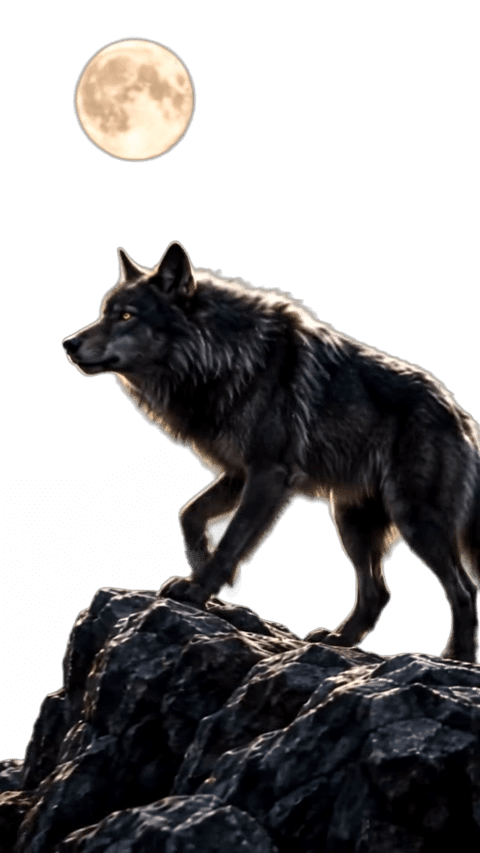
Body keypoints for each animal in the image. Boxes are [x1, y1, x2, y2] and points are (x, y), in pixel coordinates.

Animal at [61, 240, 480, 662]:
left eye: (126, 315)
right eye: (104, 313)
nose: (68, 344)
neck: (222, 357)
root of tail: (462, 416)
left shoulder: (269, 475)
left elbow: (233, 538)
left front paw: (197, 589)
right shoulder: (236, 473)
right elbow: (189, 515)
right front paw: (222, 583)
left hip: (415, 521)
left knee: (463, 590)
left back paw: (456, 657)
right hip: (350, 522)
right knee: (378, 593)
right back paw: (339, 640)